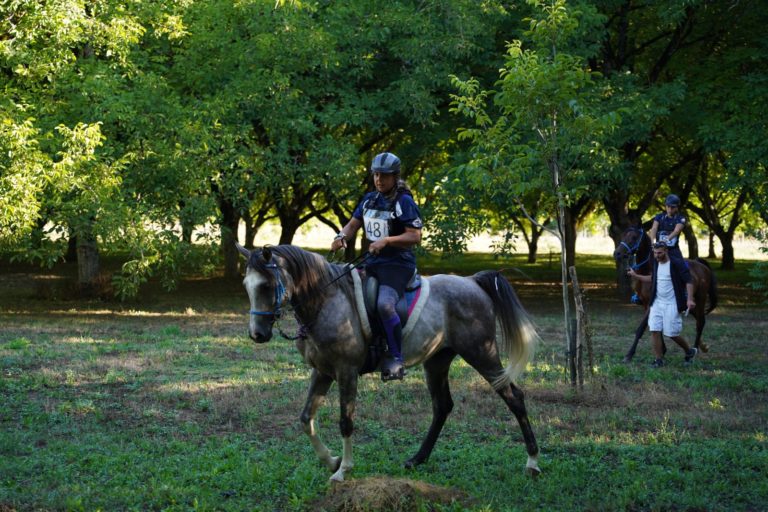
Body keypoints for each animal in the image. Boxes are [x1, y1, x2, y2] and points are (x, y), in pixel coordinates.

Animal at [237, 243, 544, 480]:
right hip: (437, 361)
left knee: (514, 397)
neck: (325, 301)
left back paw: (532, 462)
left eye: (266, 285)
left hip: (482, 353)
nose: (257, 334)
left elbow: (345, 421)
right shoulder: (322, 372)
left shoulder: (346, 372)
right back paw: (417, 459)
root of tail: (472, 281)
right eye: (246, 286)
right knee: (442, 406)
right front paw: (331, 461)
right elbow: (305, 418)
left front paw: (343, 470)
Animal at [616, 226, 716, 362]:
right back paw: (703, 346)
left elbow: (641, 328)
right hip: (689, 305)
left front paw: (629, 354)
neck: (648, 270)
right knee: (699, 320)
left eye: (633, 237)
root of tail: (701, 266)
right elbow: (655, 326)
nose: (617, 253)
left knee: (700, 322)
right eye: (622, 235)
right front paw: (662, 350)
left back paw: (694, 351)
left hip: (700, 299)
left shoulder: (651, 304)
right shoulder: (646, 304)